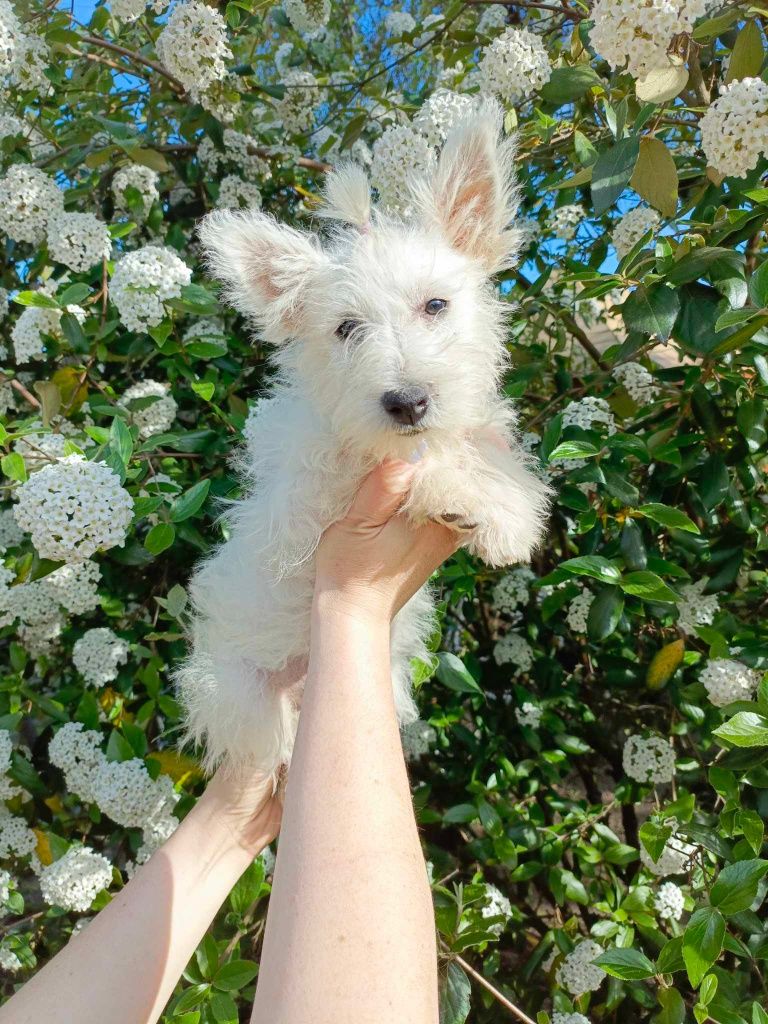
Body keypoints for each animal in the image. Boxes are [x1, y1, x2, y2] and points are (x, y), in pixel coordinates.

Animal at [177, 103, 548, 774]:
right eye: (347, 328)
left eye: (436, 305)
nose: (407, 402)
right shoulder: (316, 492)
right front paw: (469, 497)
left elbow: (479, 446)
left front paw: (508, 502)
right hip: (243, 697)